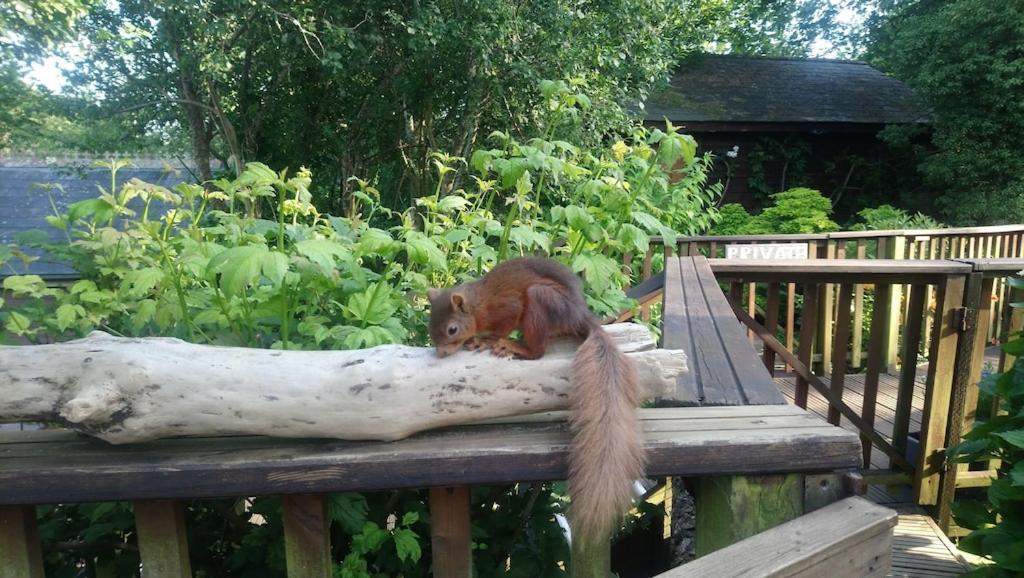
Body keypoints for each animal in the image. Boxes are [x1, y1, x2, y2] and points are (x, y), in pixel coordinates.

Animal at [425, 259, 638, 545]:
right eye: (430, 327)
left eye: (452, 329)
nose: (440, 353)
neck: (478, 305)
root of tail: (579, 317)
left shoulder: (507, 307)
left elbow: (503, 323)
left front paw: (486, 339)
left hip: (541, 300)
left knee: (538, 351)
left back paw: (516, 346)